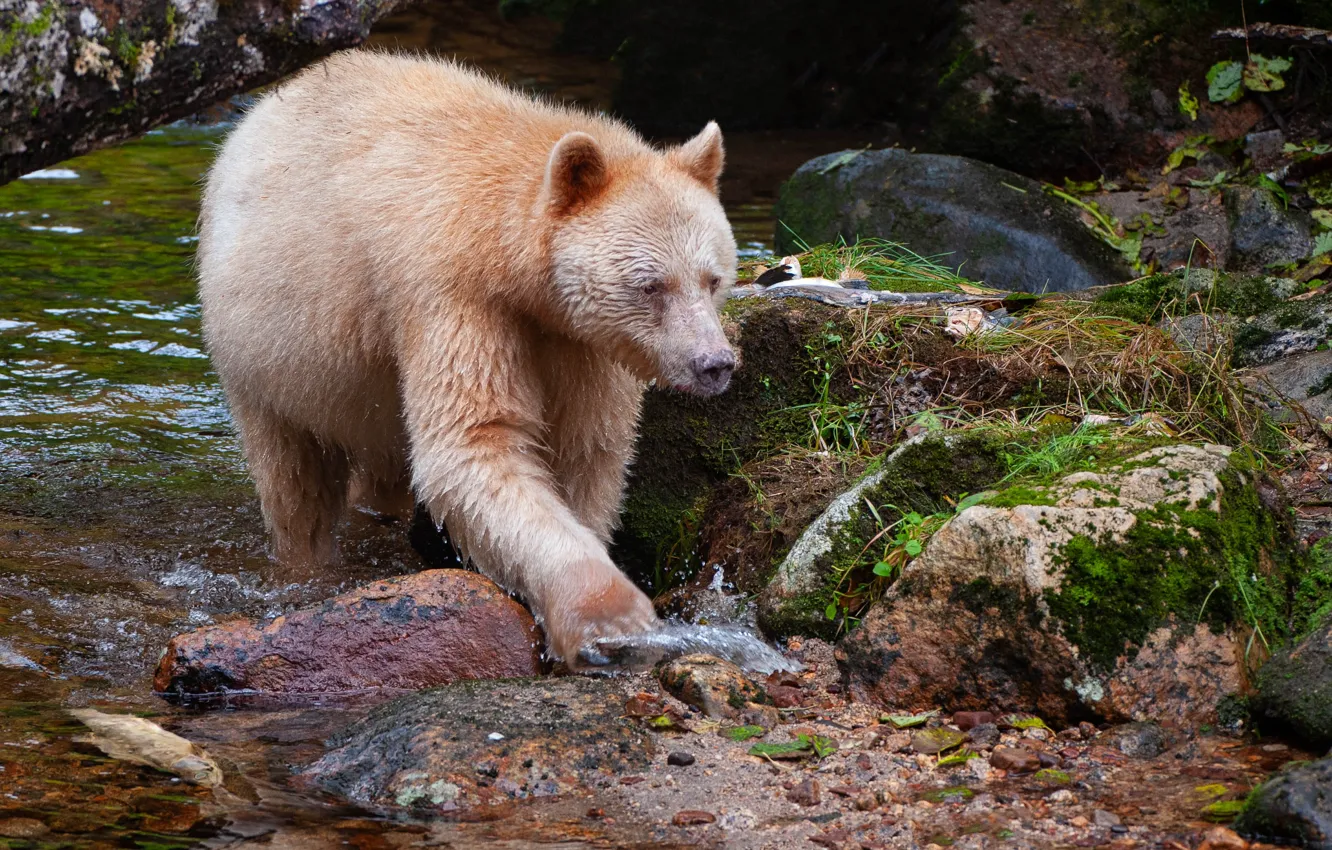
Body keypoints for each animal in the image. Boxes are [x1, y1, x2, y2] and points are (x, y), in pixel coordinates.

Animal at [196, 51, 738, 665]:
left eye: (712, 278)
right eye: (652, 285)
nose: (715, 363)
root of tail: (260, 111)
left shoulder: (582, 343)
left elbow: (586, 451)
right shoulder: (453, 297)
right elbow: (476, 443)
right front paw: (610, 617)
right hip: (260, 352)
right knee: (295, 483)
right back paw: (306, 563)